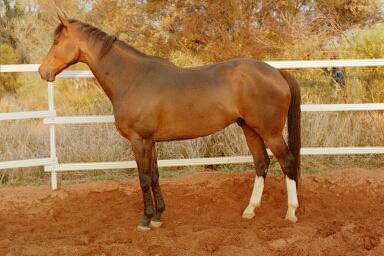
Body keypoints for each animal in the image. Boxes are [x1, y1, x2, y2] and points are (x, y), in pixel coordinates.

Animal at [39, 16, 304, 232]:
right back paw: (250, 210)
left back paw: (291, 212)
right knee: (261, 163)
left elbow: (144, 178)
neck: (132, 78)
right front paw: (158, 216)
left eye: (57, 41)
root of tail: (277, 72)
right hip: (249, 129)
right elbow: (155, 175)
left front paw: (146, 220)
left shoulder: (139, 140)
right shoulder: (151, 141)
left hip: (270, 132)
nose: (43, 72)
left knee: (287, 163)